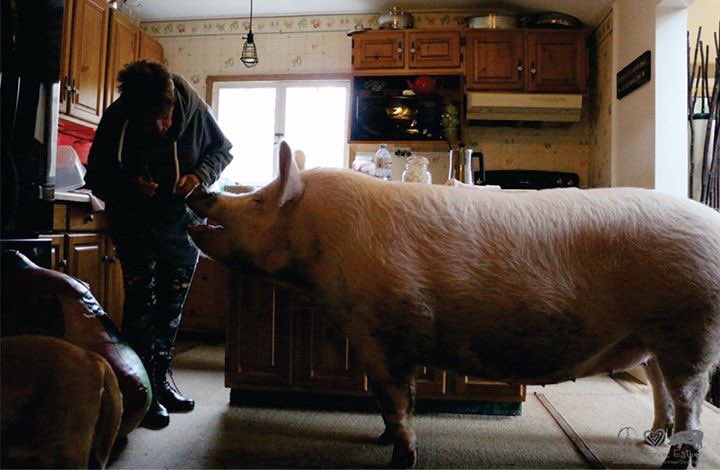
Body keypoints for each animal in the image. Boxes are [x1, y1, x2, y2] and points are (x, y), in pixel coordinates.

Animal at [187, 141, 720, 469]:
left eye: (259, 201)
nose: (202, 192)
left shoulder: (384, 330)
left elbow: (396, 401)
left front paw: (399, 457)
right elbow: (391, 401)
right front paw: (380, 440)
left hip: (692, 327)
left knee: (689, 400)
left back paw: (674, 459)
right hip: (653, 335)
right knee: (661, 387)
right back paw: (652, 437)